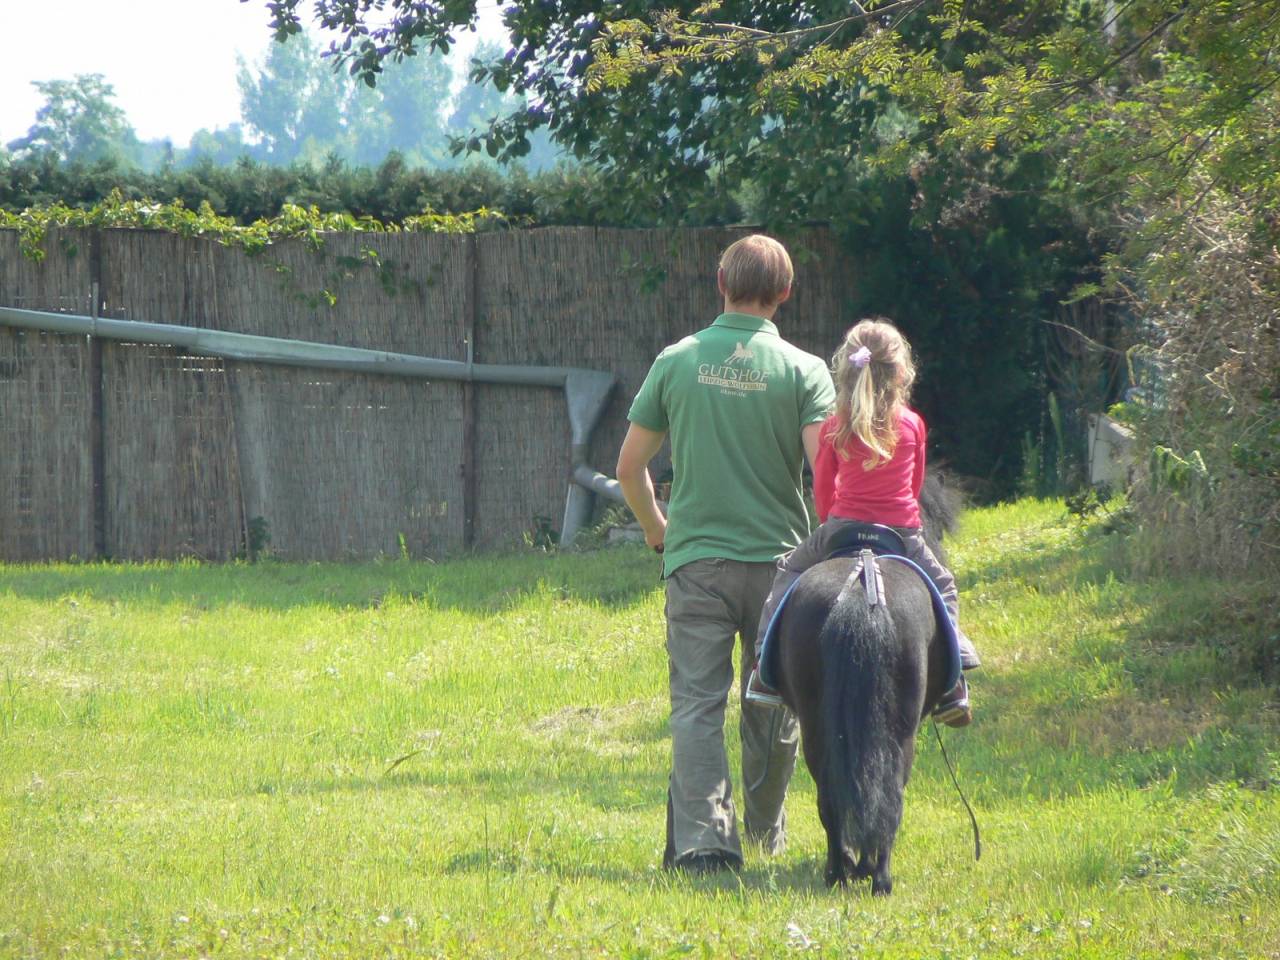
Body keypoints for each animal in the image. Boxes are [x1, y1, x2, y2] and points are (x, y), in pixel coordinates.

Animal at [768, 478, 962, 901]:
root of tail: (864, 590)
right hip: (900, 732)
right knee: (887, 792)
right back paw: (873, 875)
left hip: (818, 726)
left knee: (835, 791)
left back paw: (845, 870)